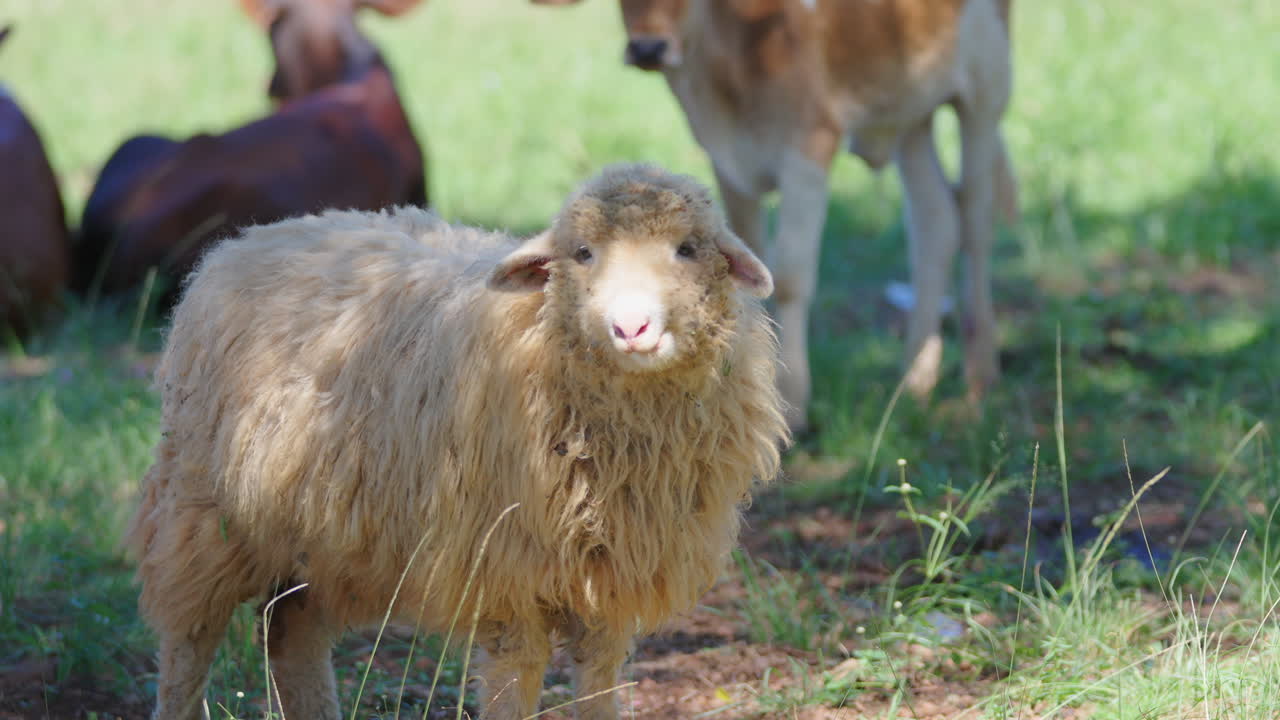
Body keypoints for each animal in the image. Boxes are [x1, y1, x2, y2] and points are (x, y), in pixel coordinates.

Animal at [128, 164, 790, 720]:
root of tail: (258, 234)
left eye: (688, 249)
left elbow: (599, 680)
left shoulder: (611, 576)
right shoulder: (504, 571)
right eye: (583, 253)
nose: (632, 327)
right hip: (201, 509)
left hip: (318, 533)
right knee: (188, 638)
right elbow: (513, 677)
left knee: (293, 634)